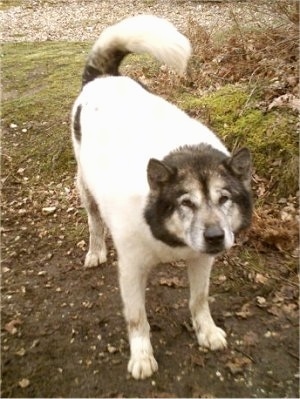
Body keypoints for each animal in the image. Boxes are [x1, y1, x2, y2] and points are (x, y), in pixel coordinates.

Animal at [71, 14, 252, 380]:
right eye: (186, 202)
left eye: (224, 199)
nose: (216, 237)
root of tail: (102, 79)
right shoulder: (131, 268)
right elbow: (136, 318)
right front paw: (142, 356)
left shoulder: (201, 260)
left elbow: (199, 299)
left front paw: (206, 331)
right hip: (85, 185)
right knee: (94, 221)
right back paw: (95, 250)